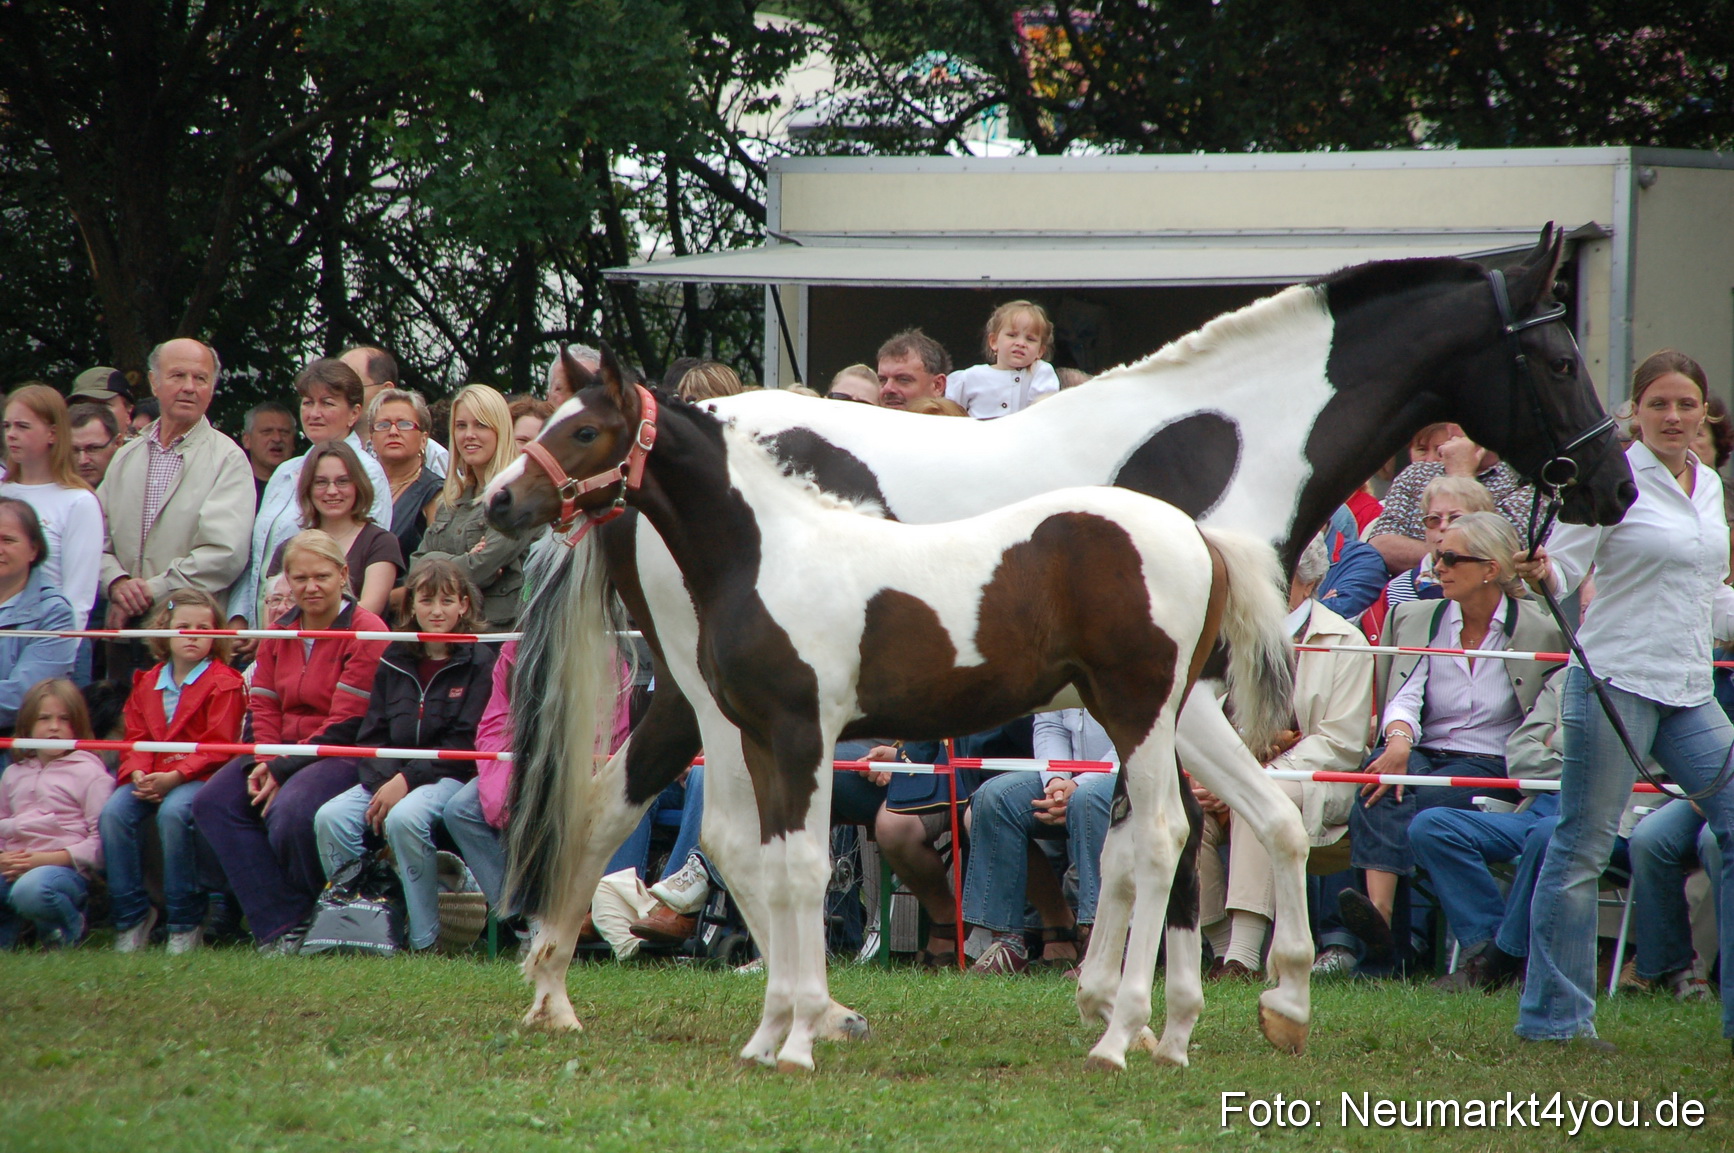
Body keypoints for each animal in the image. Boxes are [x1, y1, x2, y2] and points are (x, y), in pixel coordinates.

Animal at [488, 363, 1297, 1071]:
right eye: (554, 418)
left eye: (585, 430)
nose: (499, 499)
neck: (772, 552)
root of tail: (1198, 537)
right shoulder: (762, 739)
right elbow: (778, 867)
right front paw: (772, 1035)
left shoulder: (802, 735)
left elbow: (804, 869)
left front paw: (798, 1042)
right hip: (1150, 719)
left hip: (1142, 712)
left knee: (1160, 840)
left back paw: (1123, 1036)